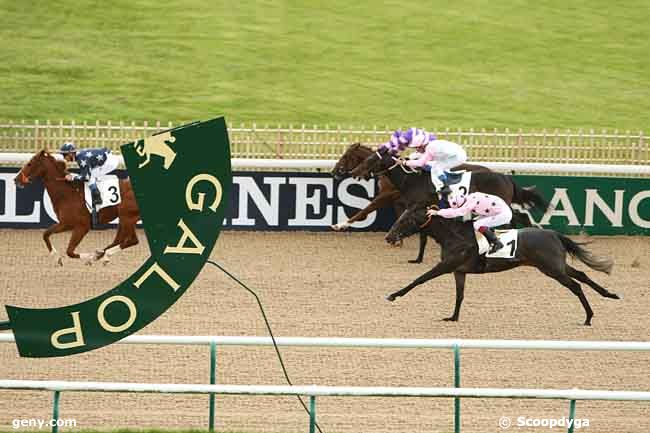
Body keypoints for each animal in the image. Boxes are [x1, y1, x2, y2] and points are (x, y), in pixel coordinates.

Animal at [384, 202, 616, 324]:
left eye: (405, 220)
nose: (389, 237)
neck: (454, 236)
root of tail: (553, 234)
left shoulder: (446, 266)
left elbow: (419, 279)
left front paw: (394, 295)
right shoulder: (459, 271)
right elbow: (460, 295)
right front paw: (453, 317)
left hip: (551, 269)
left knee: (575, 285)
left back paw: (588, 317)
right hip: (556, 265)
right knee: (582, 276)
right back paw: (609, 295)